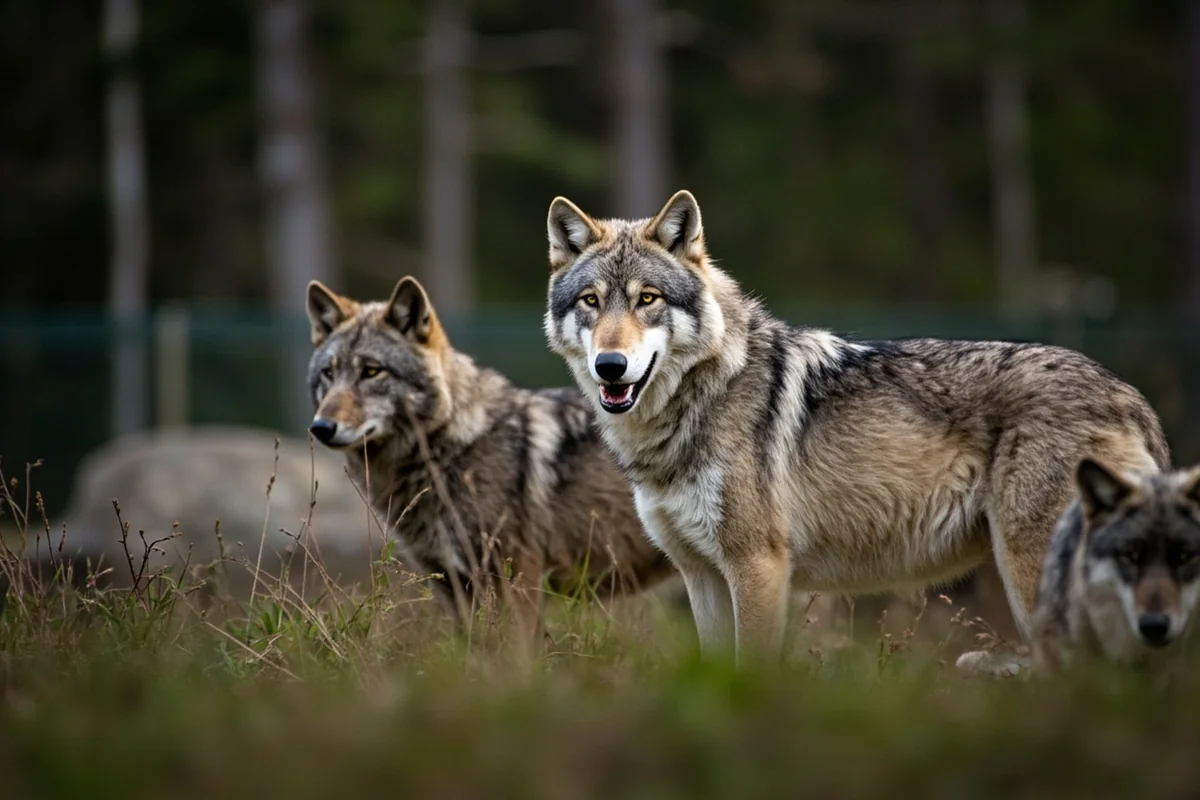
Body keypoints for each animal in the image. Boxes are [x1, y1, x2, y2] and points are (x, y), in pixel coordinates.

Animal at [305, 275, 674, 643]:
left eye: (371, 371)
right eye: (328, 373)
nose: (321, 428)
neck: (451, 447)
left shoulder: (518, 581)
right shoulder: (453, 585)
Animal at [542, 189, 1170, 668]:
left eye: (646, 299)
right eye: (591, 302)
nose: (610, 366)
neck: (703, 396)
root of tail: (1131, 397)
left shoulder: (758, 568)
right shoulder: (703, 577)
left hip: (1034, 573)